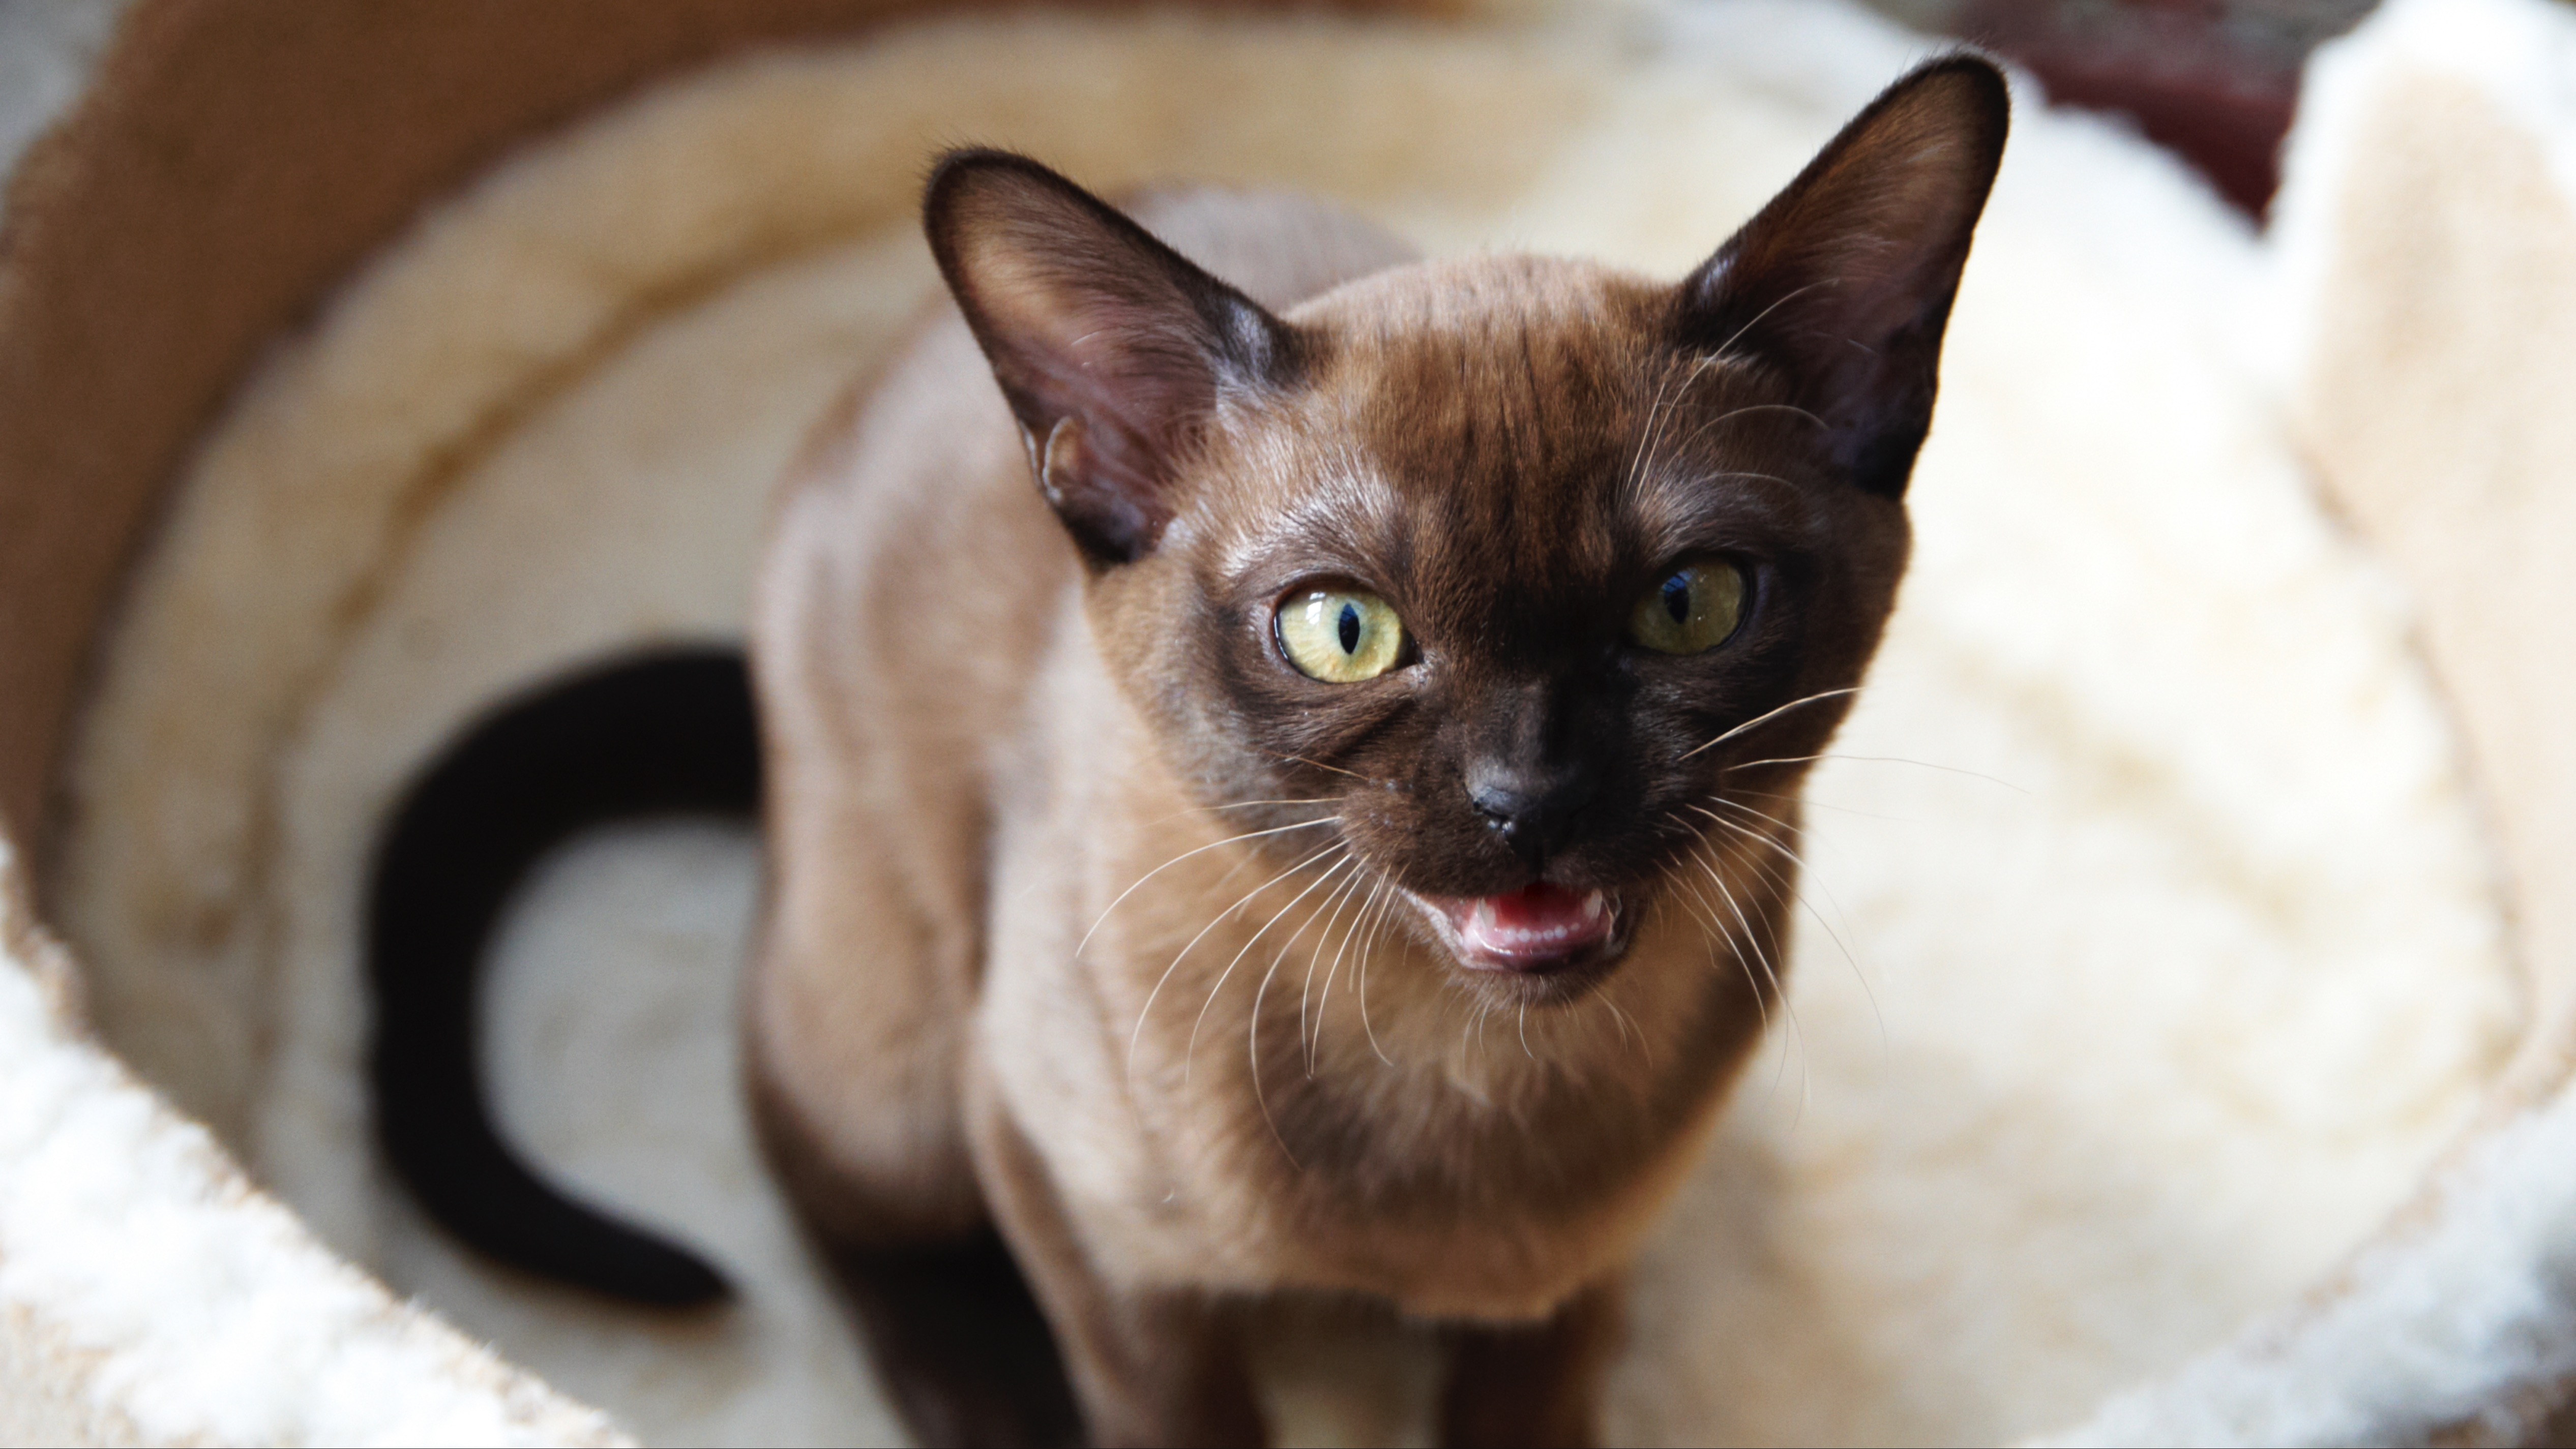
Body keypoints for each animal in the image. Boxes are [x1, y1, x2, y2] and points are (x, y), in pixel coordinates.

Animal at [368, 48, 2009, 1449]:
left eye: (1687, 606)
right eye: (1343, 630)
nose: (1525, 798)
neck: (1464, 1084)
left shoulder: (1576, 1278)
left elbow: (1529, 1404)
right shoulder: (1068, 1197)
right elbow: (1180, 1416)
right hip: (894, 1068)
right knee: (789, 1137)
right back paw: (982, 1401)